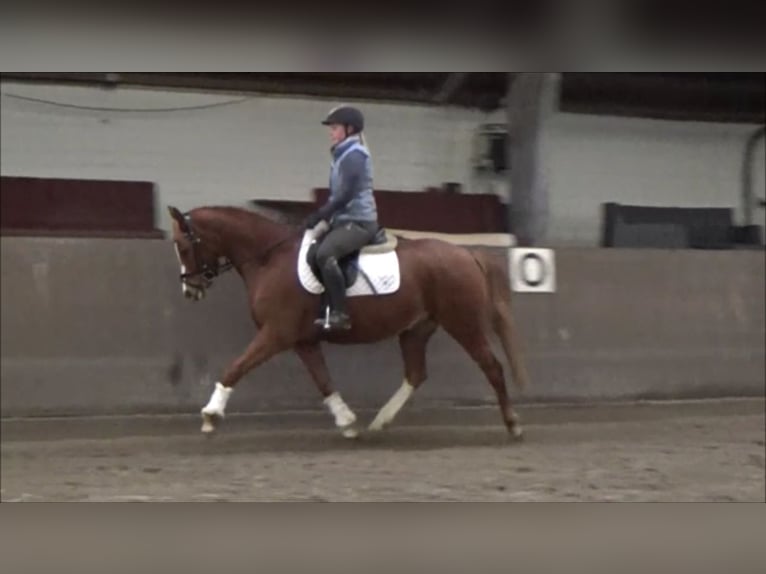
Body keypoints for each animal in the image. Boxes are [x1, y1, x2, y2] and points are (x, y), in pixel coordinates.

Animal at [168, 205, 532, 438]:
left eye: (184, 246)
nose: (190, 290)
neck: (269, 257)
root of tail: (467, 253)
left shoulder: (276, 334)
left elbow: (236, 367)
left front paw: (210, 415)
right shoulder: (303, 341)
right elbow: (323, 380)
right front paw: (347, 421)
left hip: (463, 323)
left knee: (492, 367)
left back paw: (513, 424)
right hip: (416, 329)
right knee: (416, 373)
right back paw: (381, 421)